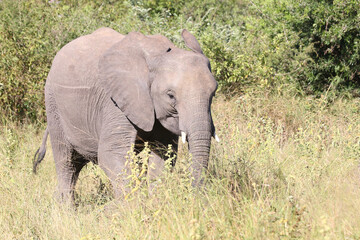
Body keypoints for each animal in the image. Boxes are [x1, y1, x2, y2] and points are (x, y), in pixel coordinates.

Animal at [33, 27, 218, 202]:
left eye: (213, 93)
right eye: (170, 95)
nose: (196, 197)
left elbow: (164, 152)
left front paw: (155, 201)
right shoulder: (115, 101)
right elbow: (111, 152)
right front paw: (131, 206)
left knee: (76, 164)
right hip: (53, 104)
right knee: (66, 162)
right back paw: (67, 210)